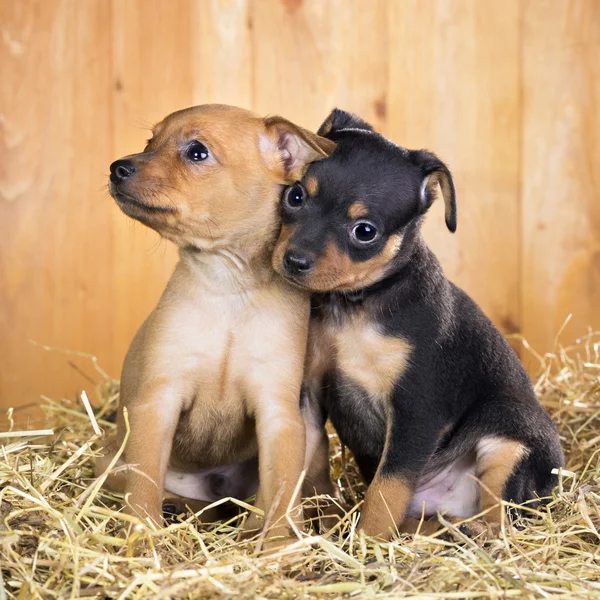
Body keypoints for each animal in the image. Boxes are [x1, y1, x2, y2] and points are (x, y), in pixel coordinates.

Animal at [95, 104, 336, 544]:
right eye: (149, 142)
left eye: (197, 152)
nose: (116, 168)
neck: (230, 289)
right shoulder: (157, 403)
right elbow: (144, 489)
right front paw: (143, 543)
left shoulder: (280, 416)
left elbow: (281, 497)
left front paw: (278, 549)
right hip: (112, 462)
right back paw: (178, 509)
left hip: (308, 436)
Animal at [270, 108, 564, 540]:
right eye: (295, 196)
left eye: (365, 232)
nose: (294, 261)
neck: (355, 307)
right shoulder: (309, 392)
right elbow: (310, 463)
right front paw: (315, 525)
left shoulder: (416, 408)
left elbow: (386, 488)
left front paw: (367, 542)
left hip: (509, 444)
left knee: (503, 520)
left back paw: (478, 537)